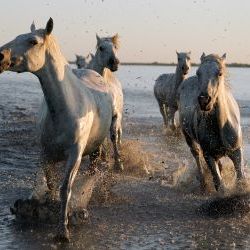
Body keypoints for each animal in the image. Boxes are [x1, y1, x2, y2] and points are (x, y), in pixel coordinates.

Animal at [0, 18, 113, 242]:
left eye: (32, 41)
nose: (0, 56)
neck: (66, 108)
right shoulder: (46, 153)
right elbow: (51, 184)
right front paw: (48, 207)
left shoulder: (75, 155)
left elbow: (65, 189)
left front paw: (63, 231)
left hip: (95, 150)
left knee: (93, 172)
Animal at [74, 33, 124, 171]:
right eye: (101, 47)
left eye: (115, 47)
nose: (114, 63)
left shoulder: (115, 115)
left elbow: (113, 136)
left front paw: (118, 163)